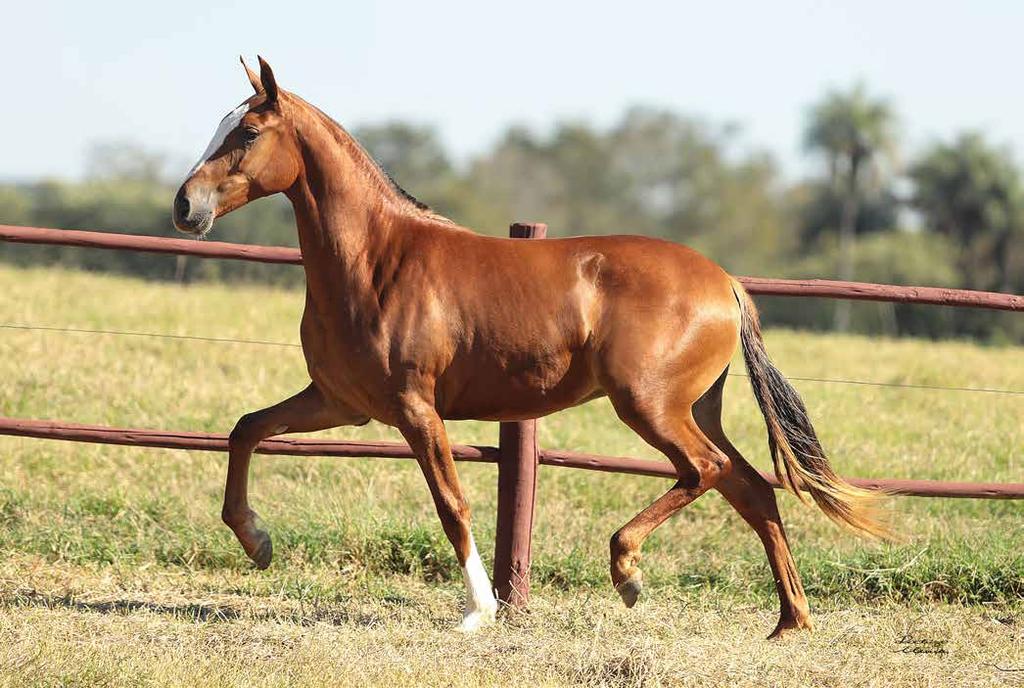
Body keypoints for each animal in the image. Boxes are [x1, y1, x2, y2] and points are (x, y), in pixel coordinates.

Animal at [172, 56, 884, 638]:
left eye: (248, 132)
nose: (185, 206)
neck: (376, 262)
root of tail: (727, 284)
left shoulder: (413, 409)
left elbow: (452, 502)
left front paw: (479, 611)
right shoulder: (340, 403)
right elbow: (246, 429)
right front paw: (257, 542)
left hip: (649, 406)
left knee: (705, 471)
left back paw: (628, 572)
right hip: (692, 409)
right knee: (752, 488)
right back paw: (789, 622)